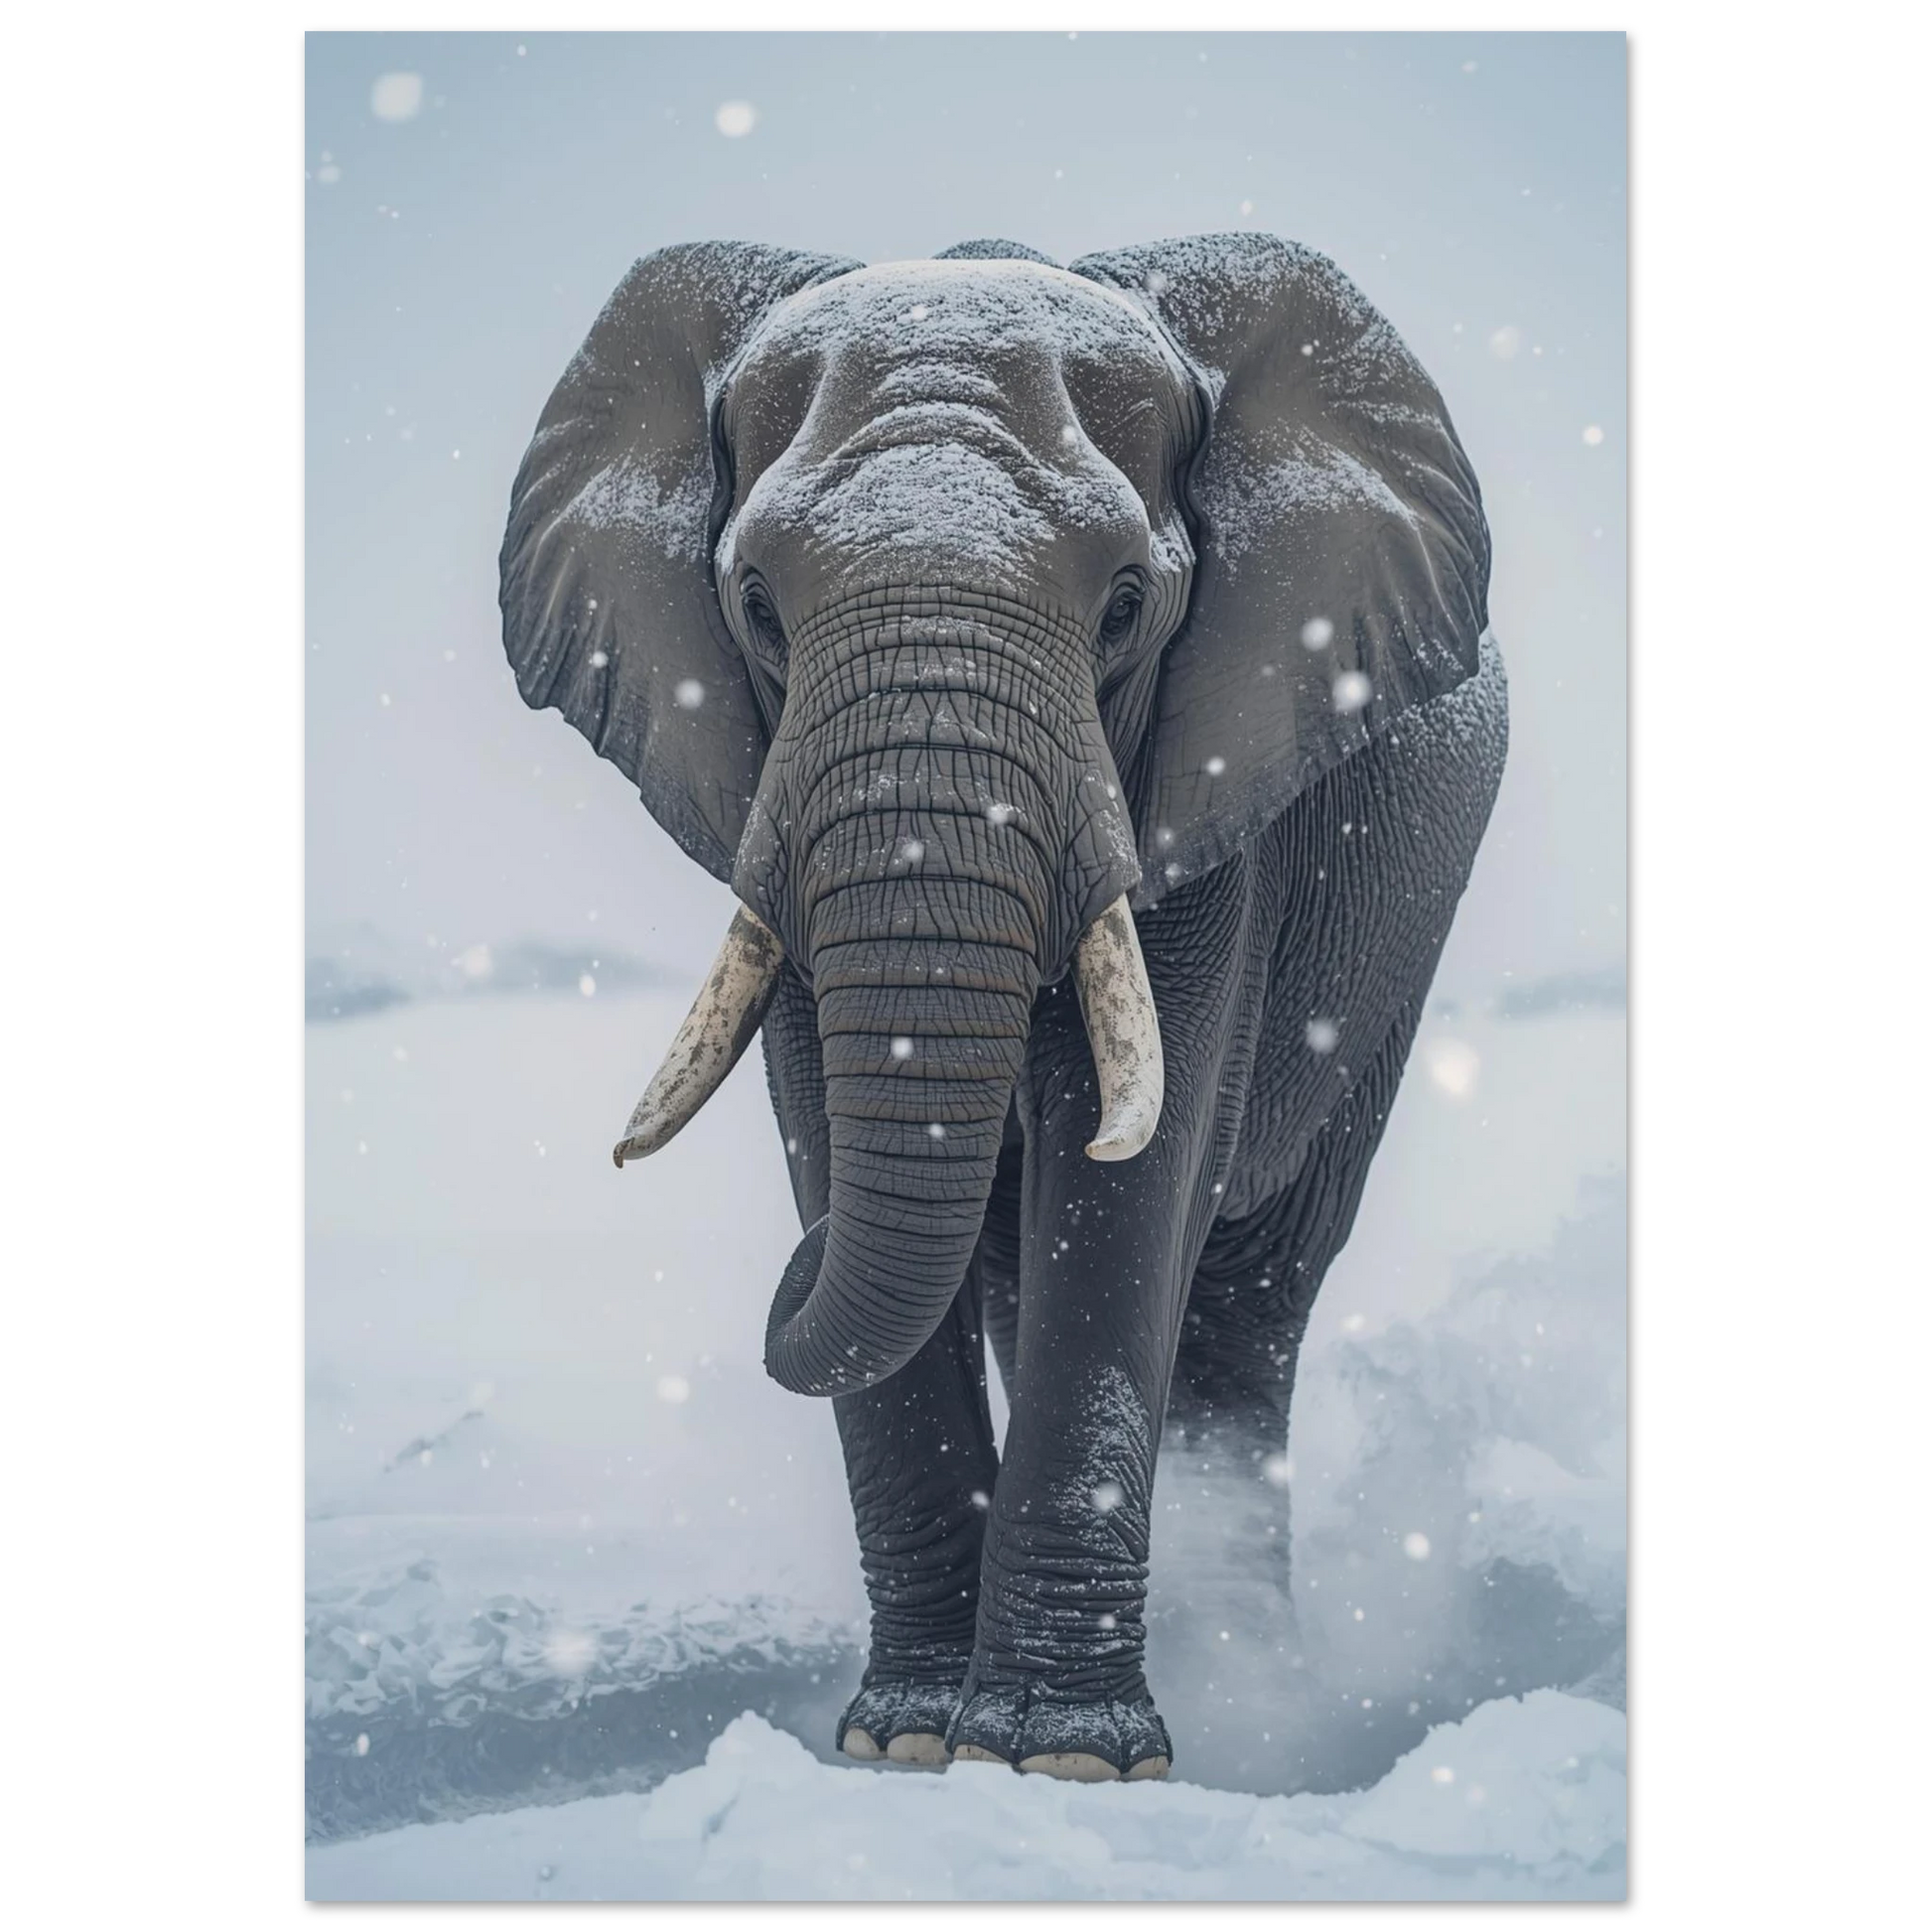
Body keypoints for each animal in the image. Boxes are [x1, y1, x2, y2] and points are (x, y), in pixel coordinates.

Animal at [499, 233, 1507, 1786]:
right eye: (755, 606)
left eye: (1125, 608)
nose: (784, 1270)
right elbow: (831, 1125)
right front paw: (902, 1740)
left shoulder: (1210, 784)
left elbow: (1131, 1181)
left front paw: (1060, 1760)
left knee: (1250, 1298)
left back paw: (1255, 1686)